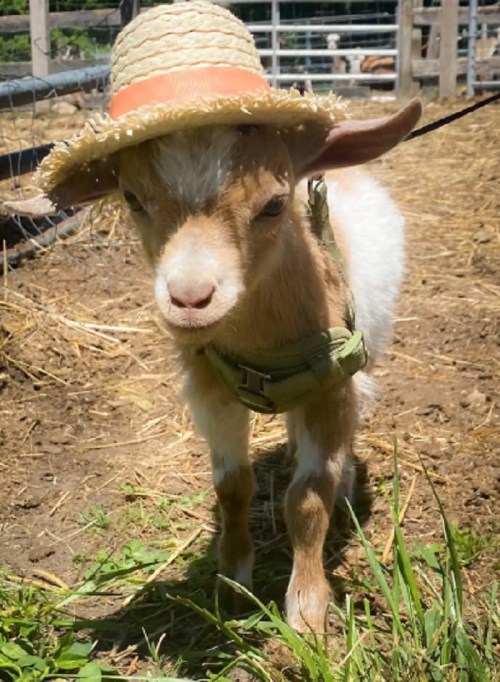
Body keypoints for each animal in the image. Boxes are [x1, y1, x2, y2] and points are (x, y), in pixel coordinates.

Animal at [7, 101, 421, 632]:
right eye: (132, 199)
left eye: (274, 203)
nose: (189, 298)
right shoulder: (213, 393)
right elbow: (232, 487)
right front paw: (232, 582)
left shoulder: (331, 388)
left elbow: (308, 500)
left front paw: (307, 610)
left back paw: (344, 480)